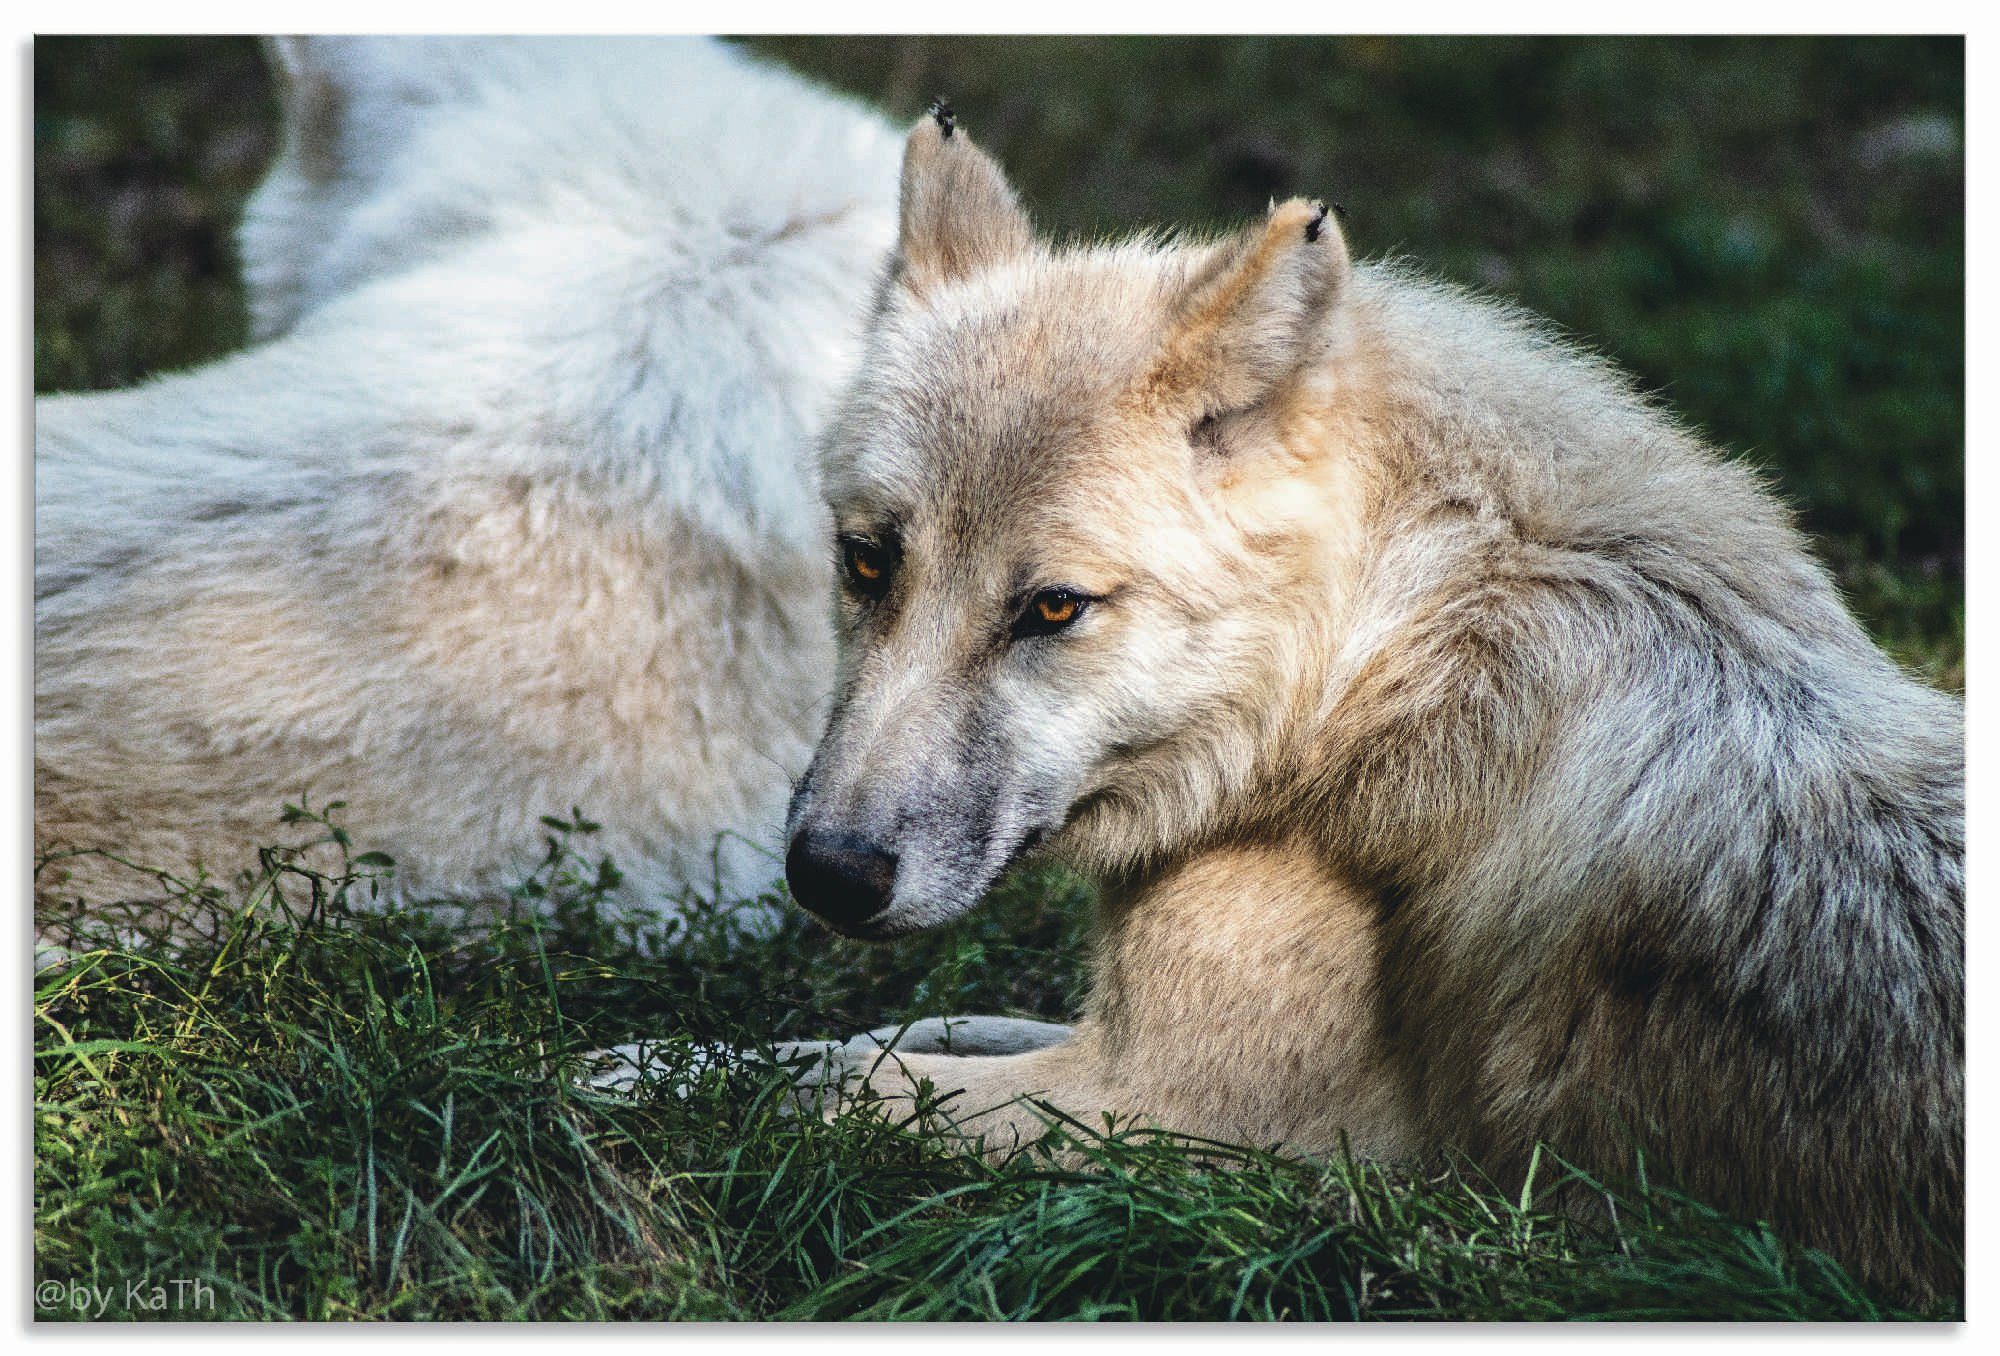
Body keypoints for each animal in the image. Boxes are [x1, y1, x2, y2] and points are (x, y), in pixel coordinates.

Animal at [772, 111, 1960, 1304]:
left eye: (1053, 608)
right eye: (867, 563)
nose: (827, 872)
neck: (1374, 663)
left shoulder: (1160, 1115)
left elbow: (824, 1092)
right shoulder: (1103, 1044)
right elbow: (890, 1034)